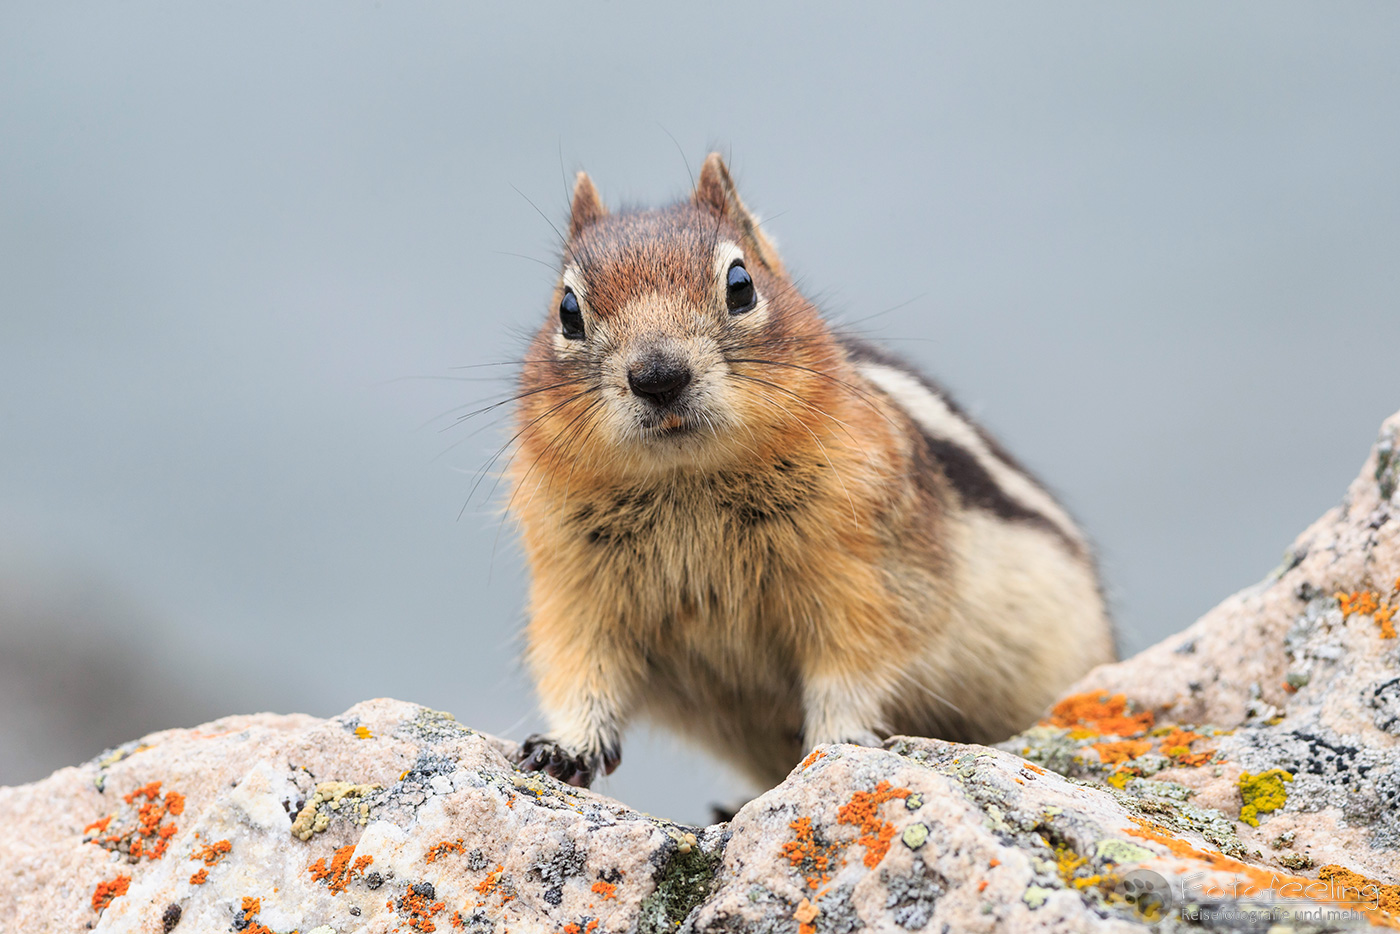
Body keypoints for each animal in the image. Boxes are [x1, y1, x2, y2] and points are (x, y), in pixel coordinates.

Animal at [509, 153, 1115, 789]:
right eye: (568, 311)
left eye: (741, 285)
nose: (658, 375)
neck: (686, 483)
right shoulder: (575, 592)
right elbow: (580, 670)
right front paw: (564, 746)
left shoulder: (863, 579)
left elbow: (852, 669)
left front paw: (840, 739)